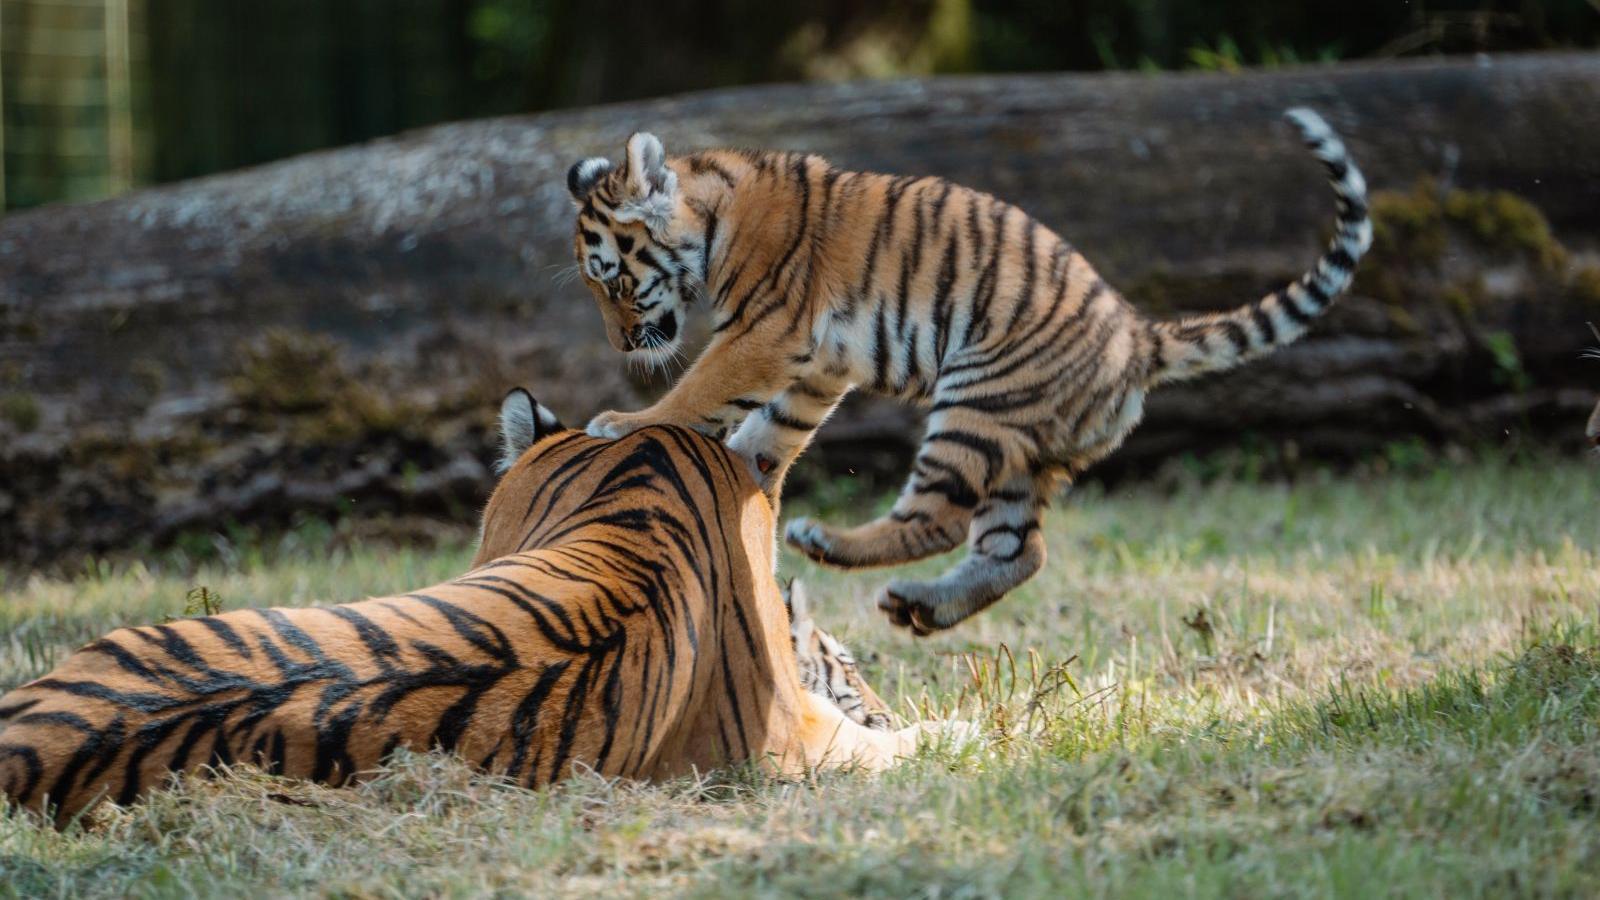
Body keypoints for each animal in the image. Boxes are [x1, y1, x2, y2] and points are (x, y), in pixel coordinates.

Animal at [569, 110, 1369, 630]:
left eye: (613, 280)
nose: (618, 344)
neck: (711, 210)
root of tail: (1137, 337)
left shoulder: (766, 333)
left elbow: (699, 388)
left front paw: (622, 423)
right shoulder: (817, 364)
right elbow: (769, 428)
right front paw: (747, 475)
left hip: (976, 402)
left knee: (938, 520)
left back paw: (830, 542)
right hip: (1022, 450)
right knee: (1021, 549)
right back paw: (921, 607)